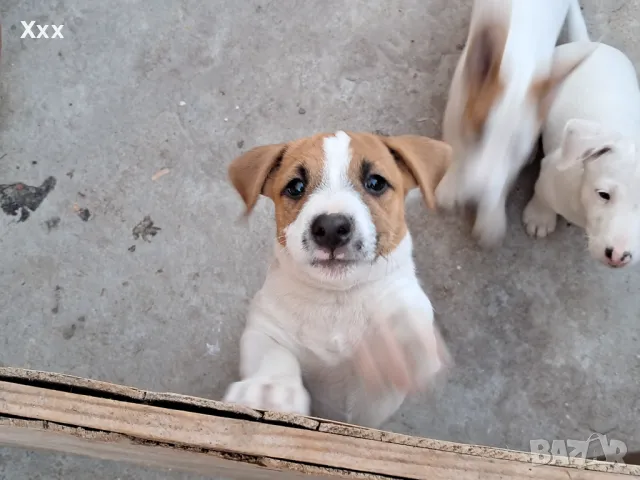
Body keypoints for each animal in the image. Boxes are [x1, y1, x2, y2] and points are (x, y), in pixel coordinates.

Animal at [222, 131, 452, 428]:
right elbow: (273, 355)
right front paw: (269, 388)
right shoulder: (265, 327)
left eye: (375, 183)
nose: (331, 228)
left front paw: (393, 346)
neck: (337, 299)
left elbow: (409, 322)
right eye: (296, 186)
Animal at [438, 0, 592, 248]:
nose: (473, 197)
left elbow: (503, 180)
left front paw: (490, 220)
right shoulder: (458, 102)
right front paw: (450, 188)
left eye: (515, 147)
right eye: (478, 132)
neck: (518, 68)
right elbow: (456, 146)